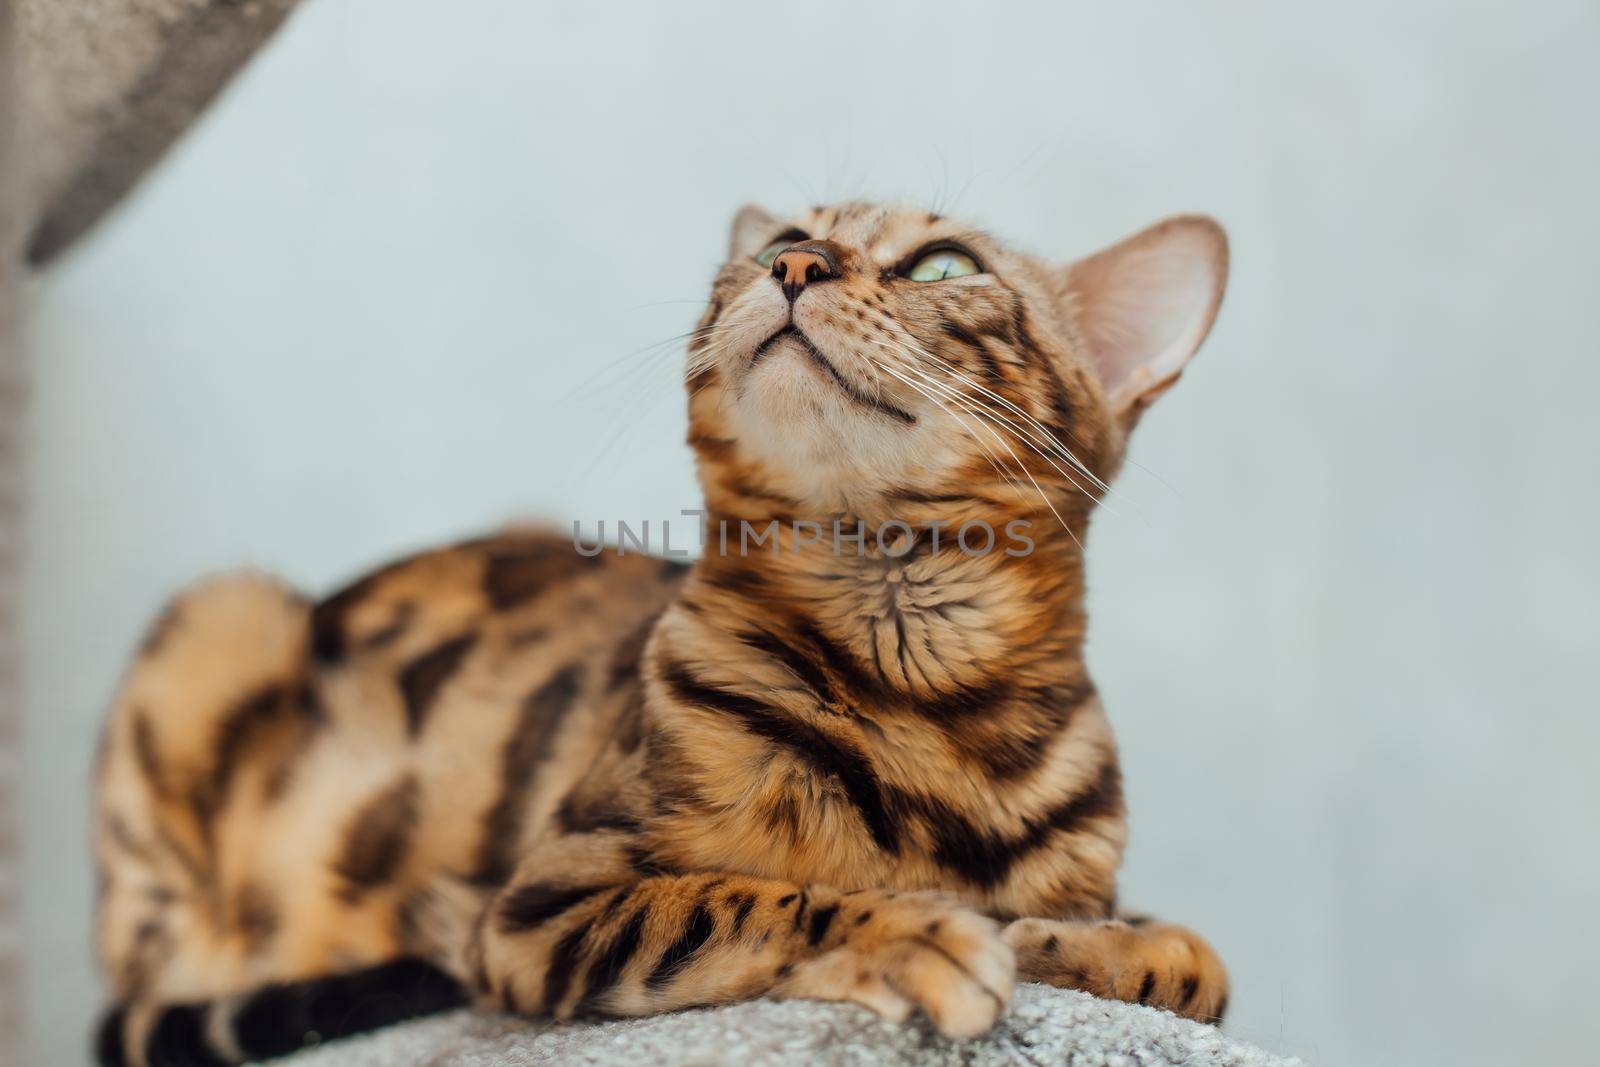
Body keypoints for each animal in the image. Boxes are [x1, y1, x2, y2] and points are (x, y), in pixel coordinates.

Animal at [93, 198, 1228, 1062]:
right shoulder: (546, 902)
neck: (923, 687)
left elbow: (1200, 967)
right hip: (216, 622)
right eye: (780, 240)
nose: (795, 263)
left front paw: (1089, 945)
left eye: (944, 263)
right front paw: (916, 931)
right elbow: (753, 897)